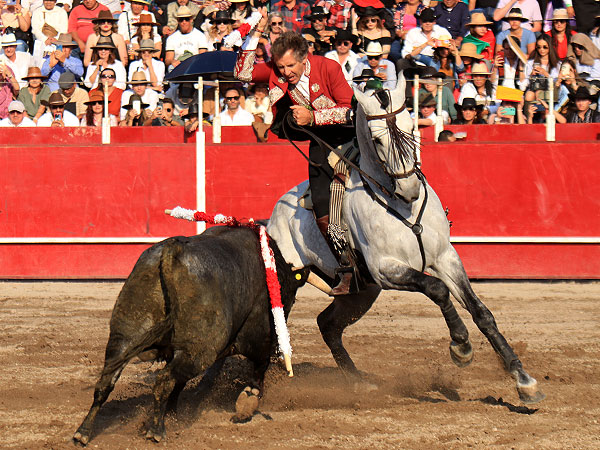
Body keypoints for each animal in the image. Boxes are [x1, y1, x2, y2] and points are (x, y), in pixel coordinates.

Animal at [74, 227, 308, 444]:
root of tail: (172, 251)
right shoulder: (257, 335)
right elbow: (260, 366)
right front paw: (248, 400)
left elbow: (180, 382)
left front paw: (172, 413)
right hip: (199, 351)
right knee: (164, 380)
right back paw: (156, 430)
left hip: (124, 336)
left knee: (105, 383)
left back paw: (83, 433)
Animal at [266, 74, 544, 404]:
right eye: (377, 140)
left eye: (411, 127)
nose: (410, 188)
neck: (400, 204)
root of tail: (274, 216)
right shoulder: (386, 268)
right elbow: (436, 289)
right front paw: (461, 346)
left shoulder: (445, 257)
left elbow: (481, 312)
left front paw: (523, 380)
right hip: (290, 283)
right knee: (278, 326)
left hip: (361, 291)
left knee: (328, 324)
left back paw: (359, 382)